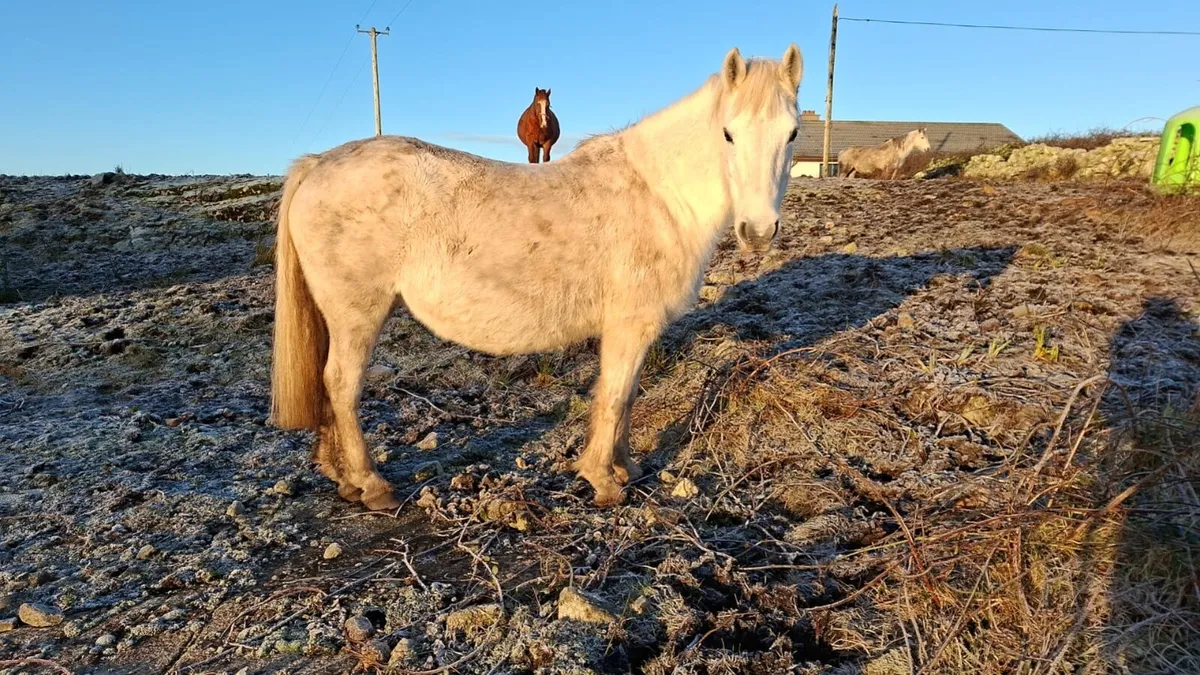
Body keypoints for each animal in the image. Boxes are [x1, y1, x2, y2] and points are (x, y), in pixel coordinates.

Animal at [270, 44, 804, 511]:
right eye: (728, 133)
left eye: (793, 134)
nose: (758, 231)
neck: (657, 195)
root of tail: (318, 164)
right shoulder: (629, 325)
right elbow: (615, 395)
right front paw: (603, 480)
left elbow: (628, 395)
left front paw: (626, 468)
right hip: (357, 314)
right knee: (341, 384)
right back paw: (371, 485)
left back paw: (340, 477)